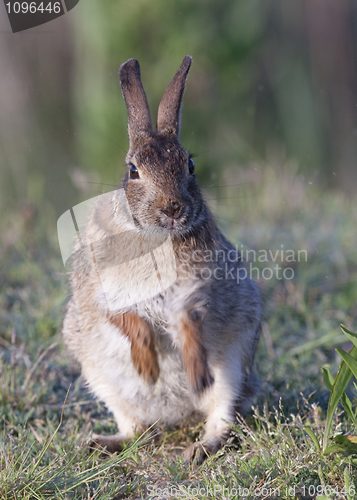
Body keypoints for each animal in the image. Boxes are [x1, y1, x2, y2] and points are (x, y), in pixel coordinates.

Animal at [62, 55, 260, 464]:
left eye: (190, 166)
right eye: (133, 170)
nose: (172, 209)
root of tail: (178, 415)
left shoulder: (195, 291)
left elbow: (189, 325)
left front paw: (195, 370)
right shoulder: (103, 293)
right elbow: (130, 321)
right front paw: (148, 368)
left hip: (234, 365)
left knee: (221, 416)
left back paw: (199, 448)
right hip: (100, 376)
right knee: (137, 429)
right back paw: (103, 443)